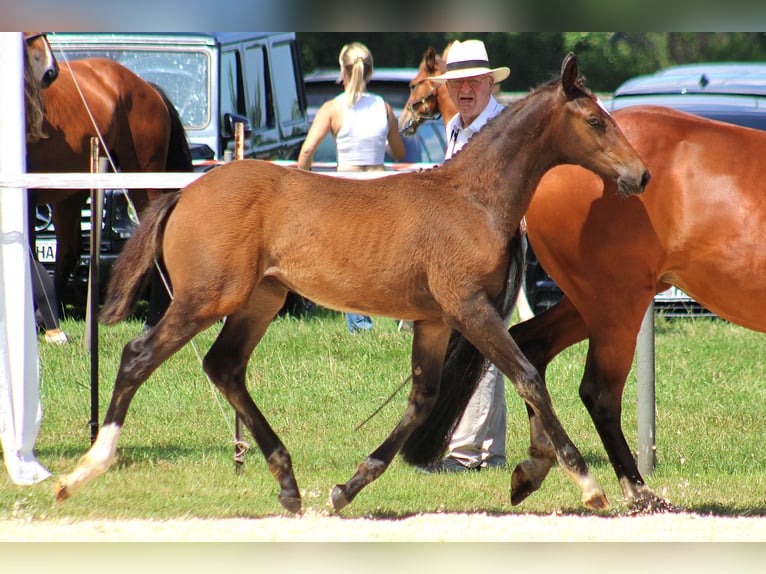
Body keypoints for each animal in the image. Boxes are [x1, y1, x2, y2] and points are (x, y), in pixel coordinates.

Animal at [52, 53, 650, 514]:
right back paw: (84, 470)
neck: (472, 198)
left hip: (260, 300)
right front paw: (585, 482)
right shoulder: (468, 308)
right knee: (137, 355)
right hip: (205, 299)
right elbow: (527, 375)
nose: (640, 175)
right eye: (595, 120)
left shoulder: (434, 321)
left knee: (224, 367)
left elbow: (422, 399)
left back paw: (288, 484)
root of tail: (185, 192)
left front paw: (347, 488)